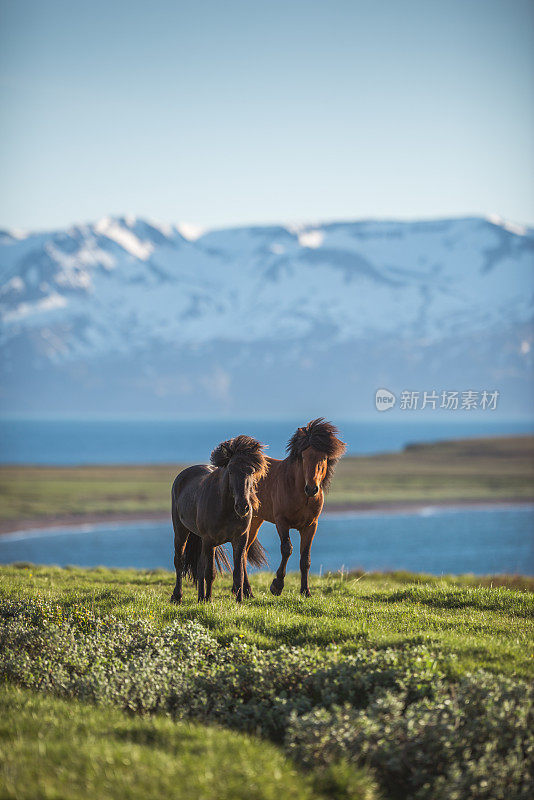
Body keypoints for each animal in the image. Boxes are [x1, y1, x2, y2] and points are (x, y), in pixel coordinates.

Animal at [171, 434, 268, 604]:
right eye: (230, 471)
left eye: (251, 471)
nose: (243, 507)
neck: (226, 509)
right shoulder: (210, 541)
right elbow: (210, 572)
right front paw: (209, 599)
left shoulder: (239, 539)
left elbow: (238, 572)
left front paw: (239, 600)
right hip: (181, 531)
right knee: (179, 561)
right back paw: (178, 596)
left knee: (200, 566)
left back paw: (200, 597)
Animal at [244, 418, 346, 592]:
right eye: (303, 457)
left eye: (324, 458)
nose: (311, 489)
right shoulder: (281, 522)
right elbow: (287, 549)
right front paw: (277, 585)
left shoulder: (310, 526)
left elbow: (305, 558)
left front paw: (306, 591)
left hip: (255, 521)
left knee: (243, 552)